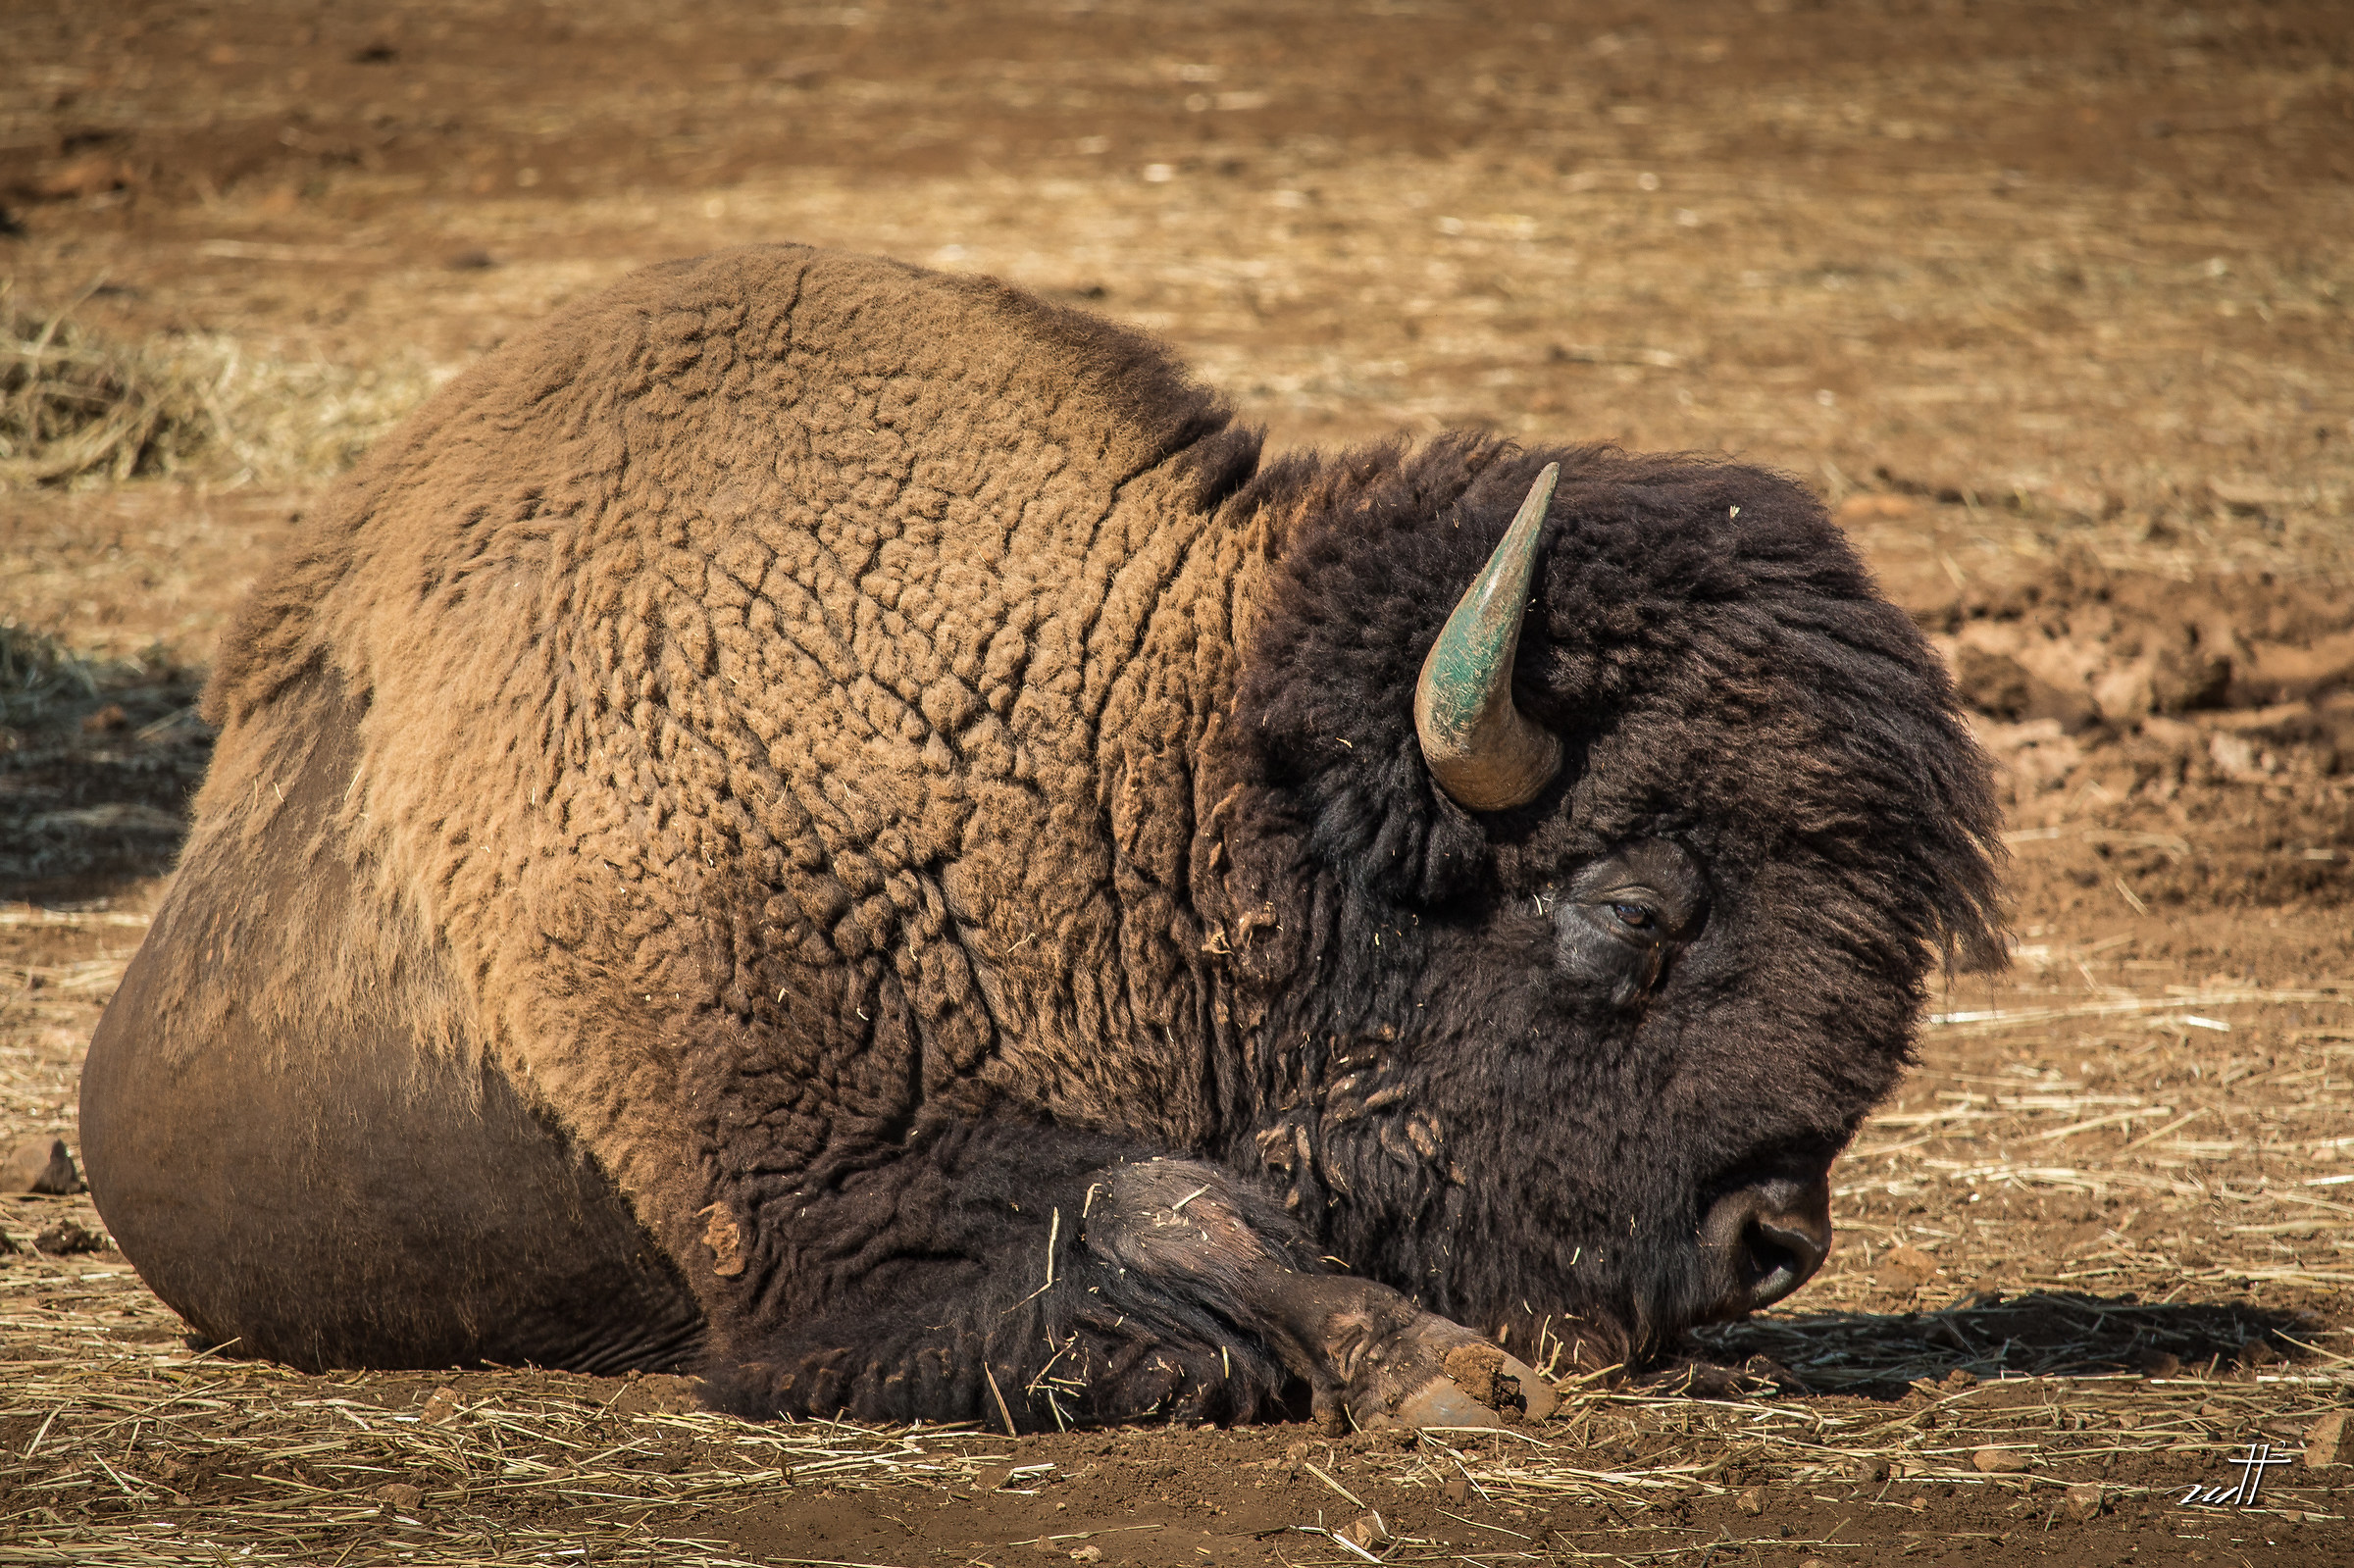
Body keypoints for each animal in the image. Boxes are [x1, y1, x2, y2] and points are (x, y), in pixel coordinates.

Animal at [82, 245, 2002, 1431]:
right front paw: (1437, 1372)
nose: (1776, 1241)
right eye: (1629, 911)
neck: (1120, 767)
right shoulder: (843, 1219)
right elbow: (1177, 1210)